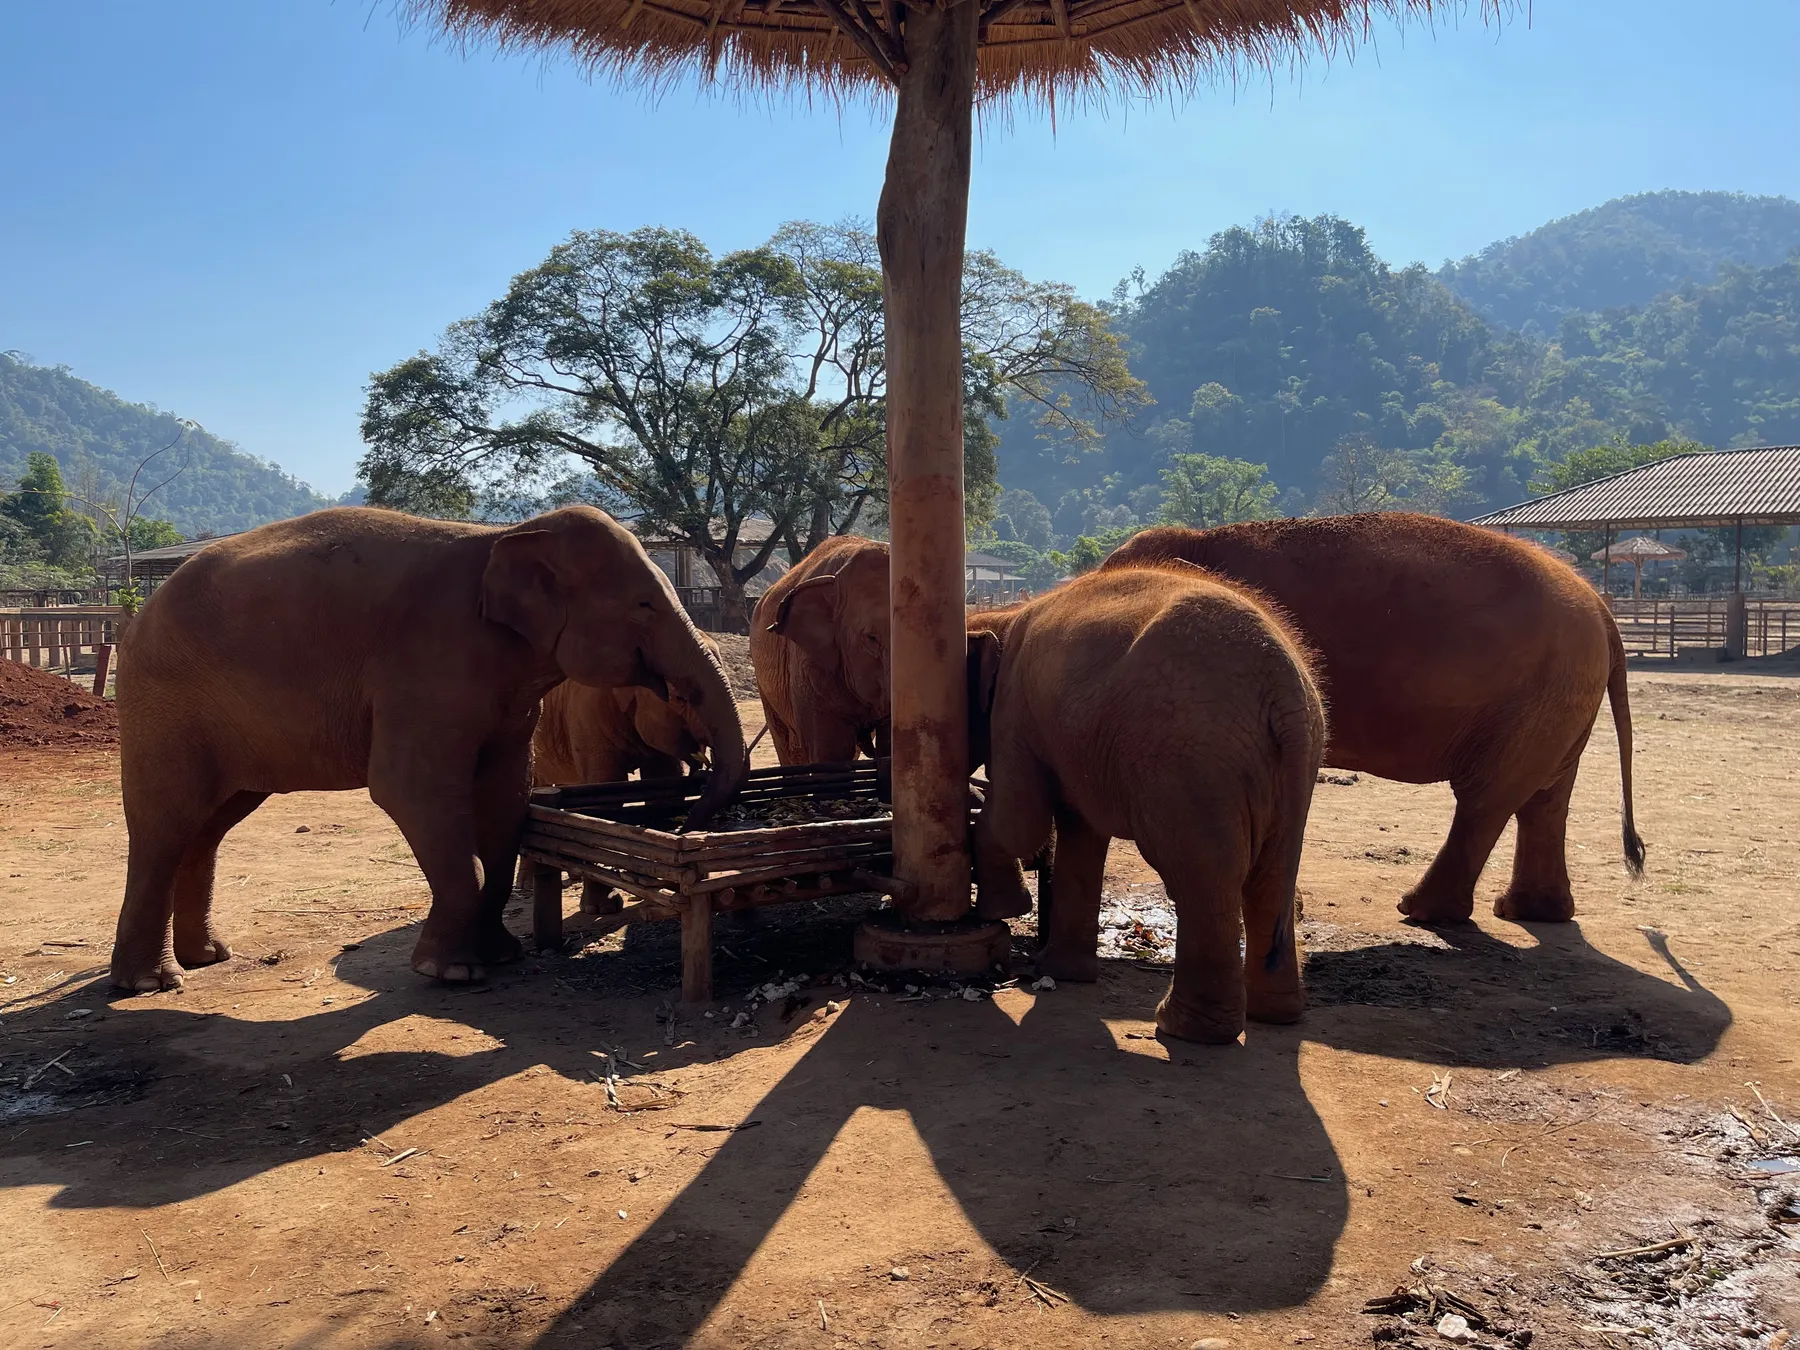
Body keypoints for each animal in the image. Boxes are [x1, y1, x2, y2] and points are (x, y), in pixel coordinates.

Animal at [110, 505, 746, 992]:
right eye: (645, 604)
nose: (691, 822)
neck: (507, 535)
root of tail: (135, 619)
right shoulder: (426, 668)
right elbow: (409, 790)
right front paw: (452, 973)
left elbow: (504, 800)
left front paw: (501, 955)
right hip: (162, 708)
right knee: (165, 822)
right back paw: (151, 982)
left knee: (210, 824)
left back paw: (207, 957)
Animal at [966, 563, 1327, 1044]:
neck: (1003, 616)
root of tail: (1283, 683)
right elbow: (1080, 832)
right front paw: (1059, 971)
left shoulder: (1014, 707)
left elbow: (1019, 822)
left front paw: (1002, 912)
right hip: (1294, 763)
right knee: (1272, 875)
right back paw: (1274, 1015)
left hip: (1187, 756)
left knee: (1198, 873)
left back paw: (1181, 1027)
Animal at [1105, 513, 1643, 924]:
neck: (1195, 538)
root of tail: (1601, 608)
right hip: (1561, 695)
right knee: (1543, 798)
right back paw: (1527, 912)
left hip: (1539, 693)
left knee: (1487, 799)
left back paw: (1422, 911)